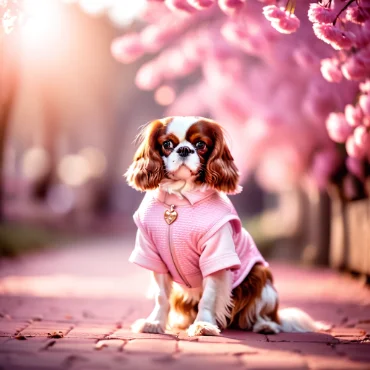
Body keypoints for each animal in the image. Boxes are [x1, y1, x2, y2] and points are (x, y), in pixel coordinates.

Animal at [125, 117, 326, 336]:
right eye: (167, 144)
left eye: (201, 144)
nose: (184, 150)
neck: (178, 201)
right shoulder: (154, 254)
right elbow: (161, 296)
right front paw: (154, 323)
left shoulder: (216, 254)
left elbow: (208, 296)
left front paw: (203, 325)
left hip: (261, 276)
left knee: (262, 314)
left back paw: (265, 325)